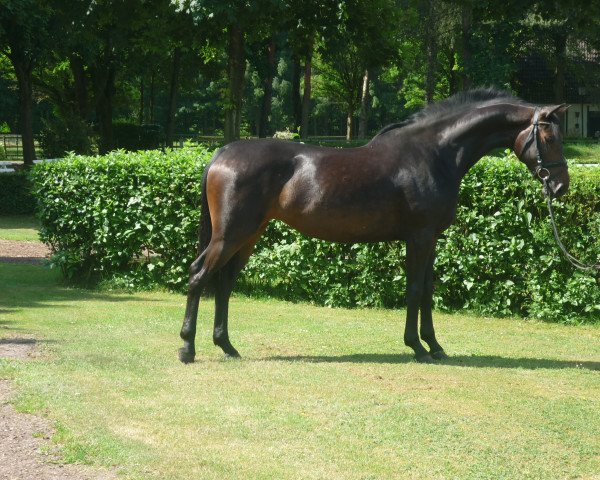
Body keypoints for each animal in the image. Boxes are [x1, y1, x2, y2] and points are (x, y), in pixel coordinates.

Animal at [177, 87, 568, 364]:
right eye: (549, 138)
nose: (560, 186)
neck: (433, 154)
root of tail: (222, 153)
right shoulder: (419, 237)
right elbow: (414, 289)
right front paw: (417, 347)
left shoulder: (431, 239)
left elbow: (427, 291)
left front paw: (435, 345)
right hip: (230, 234)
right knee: (199, 275)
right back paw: (187, 349)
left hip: (249, 235)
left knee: (225, 282)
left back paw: (227, 346)